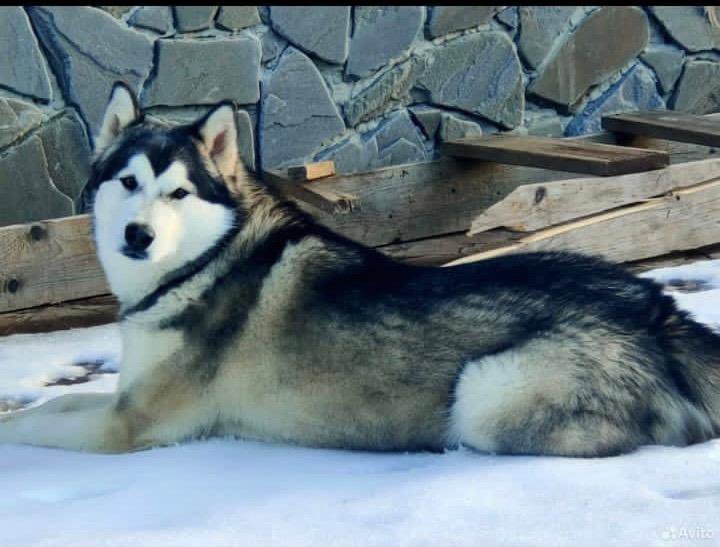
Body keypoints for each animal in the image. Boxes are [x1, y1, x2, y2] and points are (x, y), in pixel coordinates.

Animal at [1, 82, 719, 457]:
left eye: (178, 192)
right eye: (128, 181)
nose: (138, 235)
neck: (203, 263)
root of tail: (654, 308)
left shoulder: (128, 426)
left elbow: (34, 422)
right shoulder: (121, 401)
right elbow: (62, 398)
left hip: (486, 393)